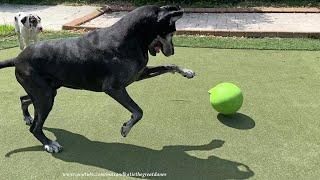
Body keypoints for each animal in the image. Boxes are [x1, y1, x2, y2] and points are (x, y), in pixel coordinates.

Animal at [0, 4, 195, 153]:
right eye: (172, 32)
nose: (172, 51)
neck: (131, 37)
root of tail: (17, 58)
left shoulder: (139, 74)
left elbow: (169, 66)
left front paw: (187, 71)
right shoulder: (114, 88)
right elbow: (138, 111)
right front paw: (126, 128)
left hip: (47, 90)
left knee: (24, 99)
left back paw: (27, 117)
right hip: (44, 96)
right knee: (35, 127)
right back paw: (48, 143)